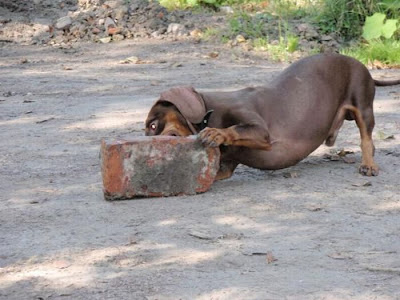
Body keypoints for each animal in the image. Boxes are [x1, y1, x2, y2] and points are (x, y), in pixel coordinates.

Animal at [145, 53, 400, 180]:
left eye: (153, 125)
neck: (209, 112)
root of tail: (361, 65)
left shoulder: (259, 131)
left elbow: (234, 129)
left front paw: (216, 133)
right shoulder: (225, 168)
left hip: (363, 106)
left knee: (367, 140)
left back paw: (368, 165)